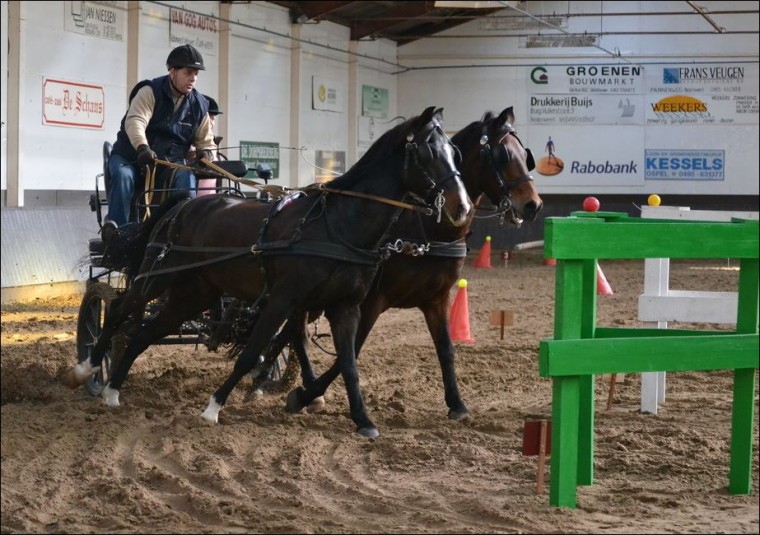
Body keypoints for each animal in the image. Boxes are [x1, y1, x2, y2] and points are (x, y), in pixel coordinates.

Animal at [67, 105, 470, 440]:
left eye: (456, 153)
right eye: (429, 152)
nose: (462, 207)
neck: (336, 227)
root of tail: (179, 206)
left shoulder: (346, 307)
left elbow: (349, 363)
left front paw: (363, 421)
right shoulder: (283, 299)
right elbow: (252, 352)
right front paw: (213, 408)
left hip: (193, 295)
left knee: (144, 333)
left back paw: (113, 391)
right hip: (156, 277)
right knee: (118, 312)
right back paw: (88, 369)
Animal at [249, 107, 540, 428]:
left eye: (524, 155)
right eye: (502, 155)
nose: (533, 205)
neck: (424, 228)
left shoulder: (437, 298)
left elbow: (446, 348)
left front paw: (457, 404)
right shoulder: (372, 300)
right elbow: (350, 353)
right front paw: (304, 395)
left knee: (291, 331)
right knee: (295, 332)